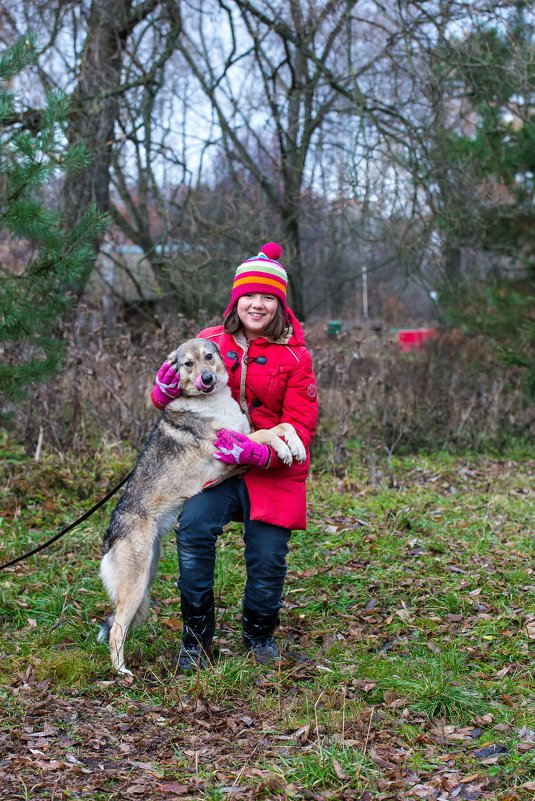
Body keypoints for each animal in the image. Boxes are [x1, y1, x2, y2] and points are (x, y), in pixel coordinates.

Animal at [97, 334, 306, 672]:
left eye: (209, 357)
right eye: (187, 364)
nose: (206, 379)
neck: (212, 402)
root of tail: (110, 536)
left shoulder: (243, 438)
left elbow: (282, 426)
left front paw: (296, 447)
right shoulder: (228, 453)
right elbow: (267, 435)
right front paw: (284, 452)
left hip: (146, 578)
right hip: (136, 585)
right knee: (116, 631)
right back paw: (121, 672)